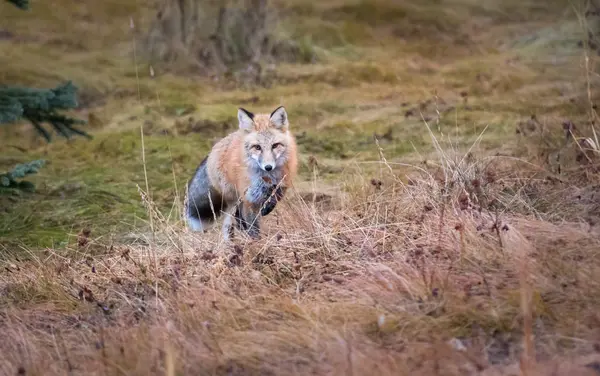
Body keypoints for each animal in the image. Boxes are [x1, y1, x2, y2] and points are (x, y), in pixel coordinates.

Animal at [183, 106, 296, 241]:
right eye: (257, 147)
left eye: (275, 145)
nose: (268, 167)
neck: (266, 178)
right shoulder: (249, 198)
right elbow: (253, 226)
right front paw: (256, 242)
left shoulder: (281, 185)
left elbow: (275, 197)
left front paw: (267, 208)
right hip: (234, 199)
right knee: (231, 222)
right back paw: (230, 242)